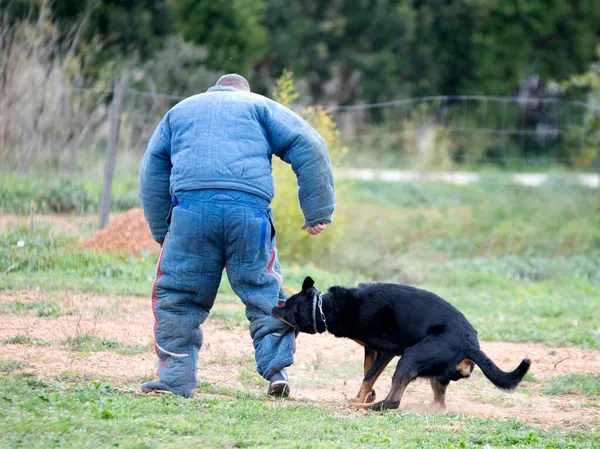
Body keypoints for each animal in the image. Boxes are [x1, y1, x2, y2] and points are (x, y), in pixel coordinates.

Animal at [272, 276, 528, 410]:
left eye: (287, 306)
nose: (273, 307)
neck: (325, 307)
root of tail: (470, 344)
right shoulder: (371, 349)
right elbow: (368, 374)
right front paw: (365, 395)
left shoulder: (388, 350)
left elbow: (368, 376)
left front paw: (361, 400)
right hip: (435, 372)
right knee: (438, 403)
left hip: (411, 357)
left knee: (393, 402)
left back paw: (365, 407)